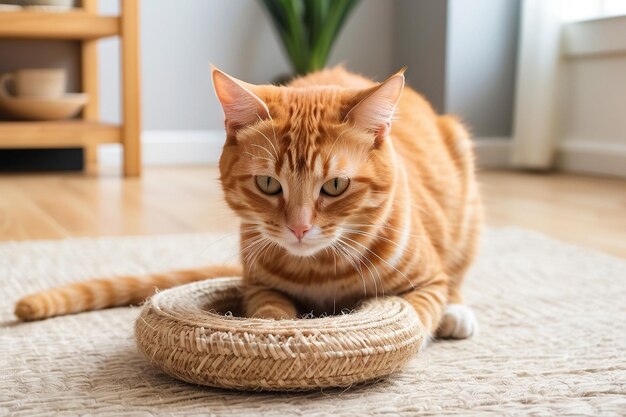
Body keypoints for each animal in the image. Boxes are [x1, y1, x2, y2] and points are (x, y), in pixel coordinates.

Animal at [17, 66, 480, 338]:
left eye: (334, 186)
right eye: (268, 184)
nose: (299, 227)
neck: (320, 273)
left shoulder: (429, 281)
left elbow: (418, 315)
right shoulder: (257, 285)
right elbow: (271, 311)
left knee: (457, 277)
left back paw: (457, 314)